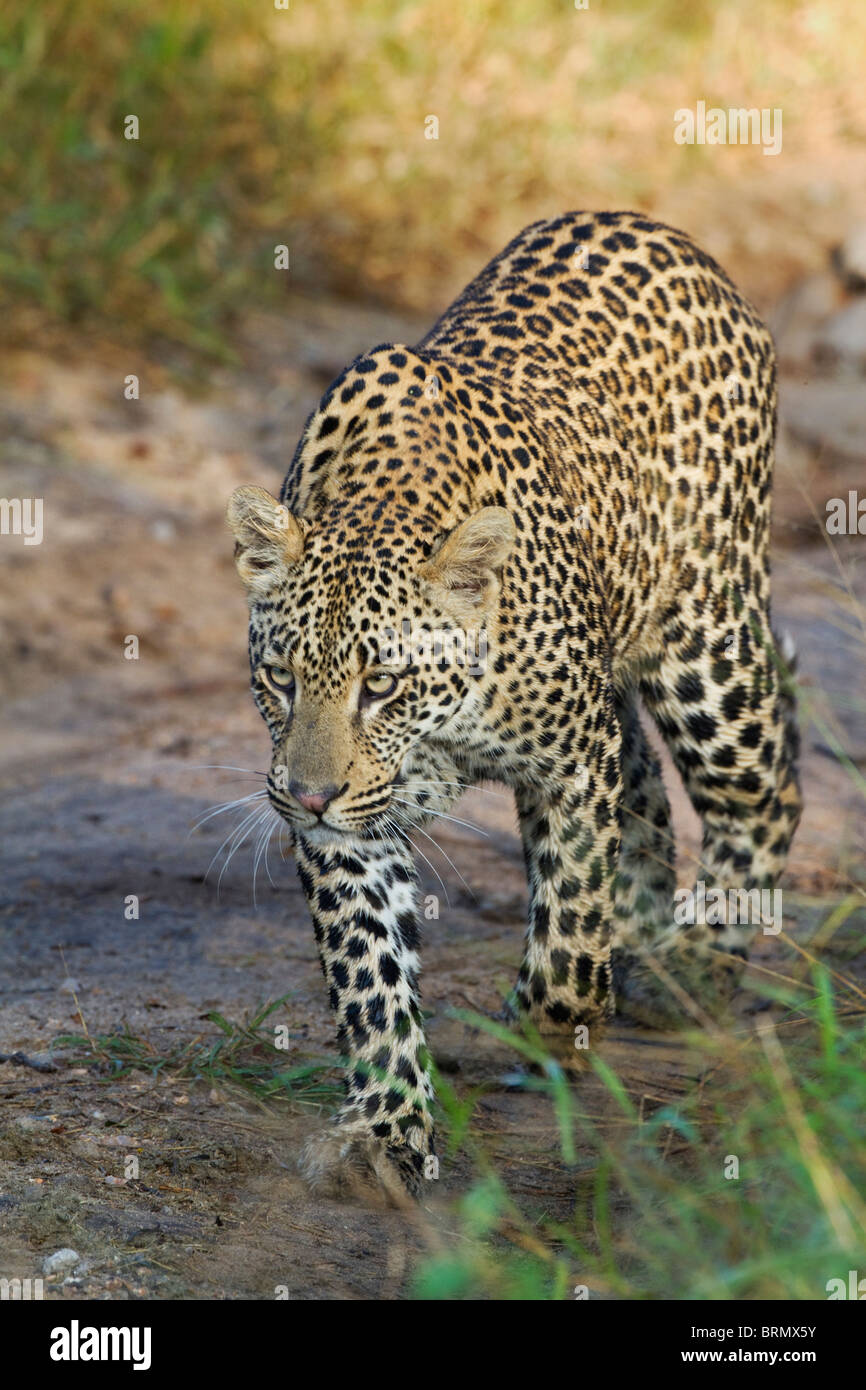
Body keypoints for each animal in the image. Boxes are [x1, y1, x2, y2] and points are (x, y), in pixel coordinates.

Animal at [226, 211, 800, 1200]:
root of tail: (659, 229)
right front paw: (385, 1128)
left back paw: (689, 969)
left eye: (382, 684)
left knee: (767, 789)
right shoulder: (352, 825)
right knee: (648, 794)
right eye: (284, 679)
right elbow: (370, 973)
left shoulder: (570, 761)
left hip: (707, 645)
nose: (307, 796)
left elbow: (568, 927)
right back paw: (647, 942)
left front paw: (547, 1028)